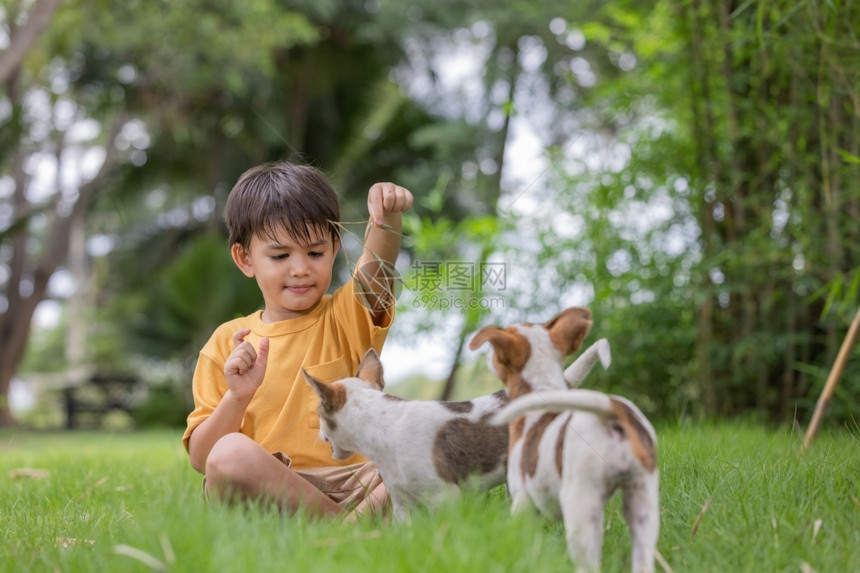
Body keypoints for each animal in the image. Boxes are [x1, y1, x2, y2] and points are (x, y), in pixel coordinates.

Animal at [470, 308, 660, 572]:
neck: (544, 388)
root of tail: (612, 411)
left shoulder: (522, 500)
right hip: (643, 500)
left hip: (581, 504)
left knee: (589, 562)